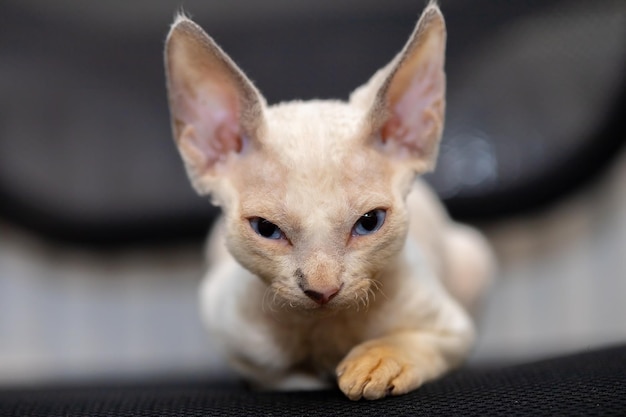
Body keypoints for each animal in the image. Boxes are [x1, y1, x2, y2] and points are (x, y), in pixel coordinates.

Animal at [165, 2, 492, 400]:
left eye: (369, 222)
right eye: (266, 229)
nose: (322, 290)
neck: (322, 329)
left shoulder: (454, 329)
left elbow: (418, 341)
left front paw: (378, 362)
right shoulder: (240, 347)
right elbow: (286, 378)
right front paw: (319, 374)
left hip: (474, 256)